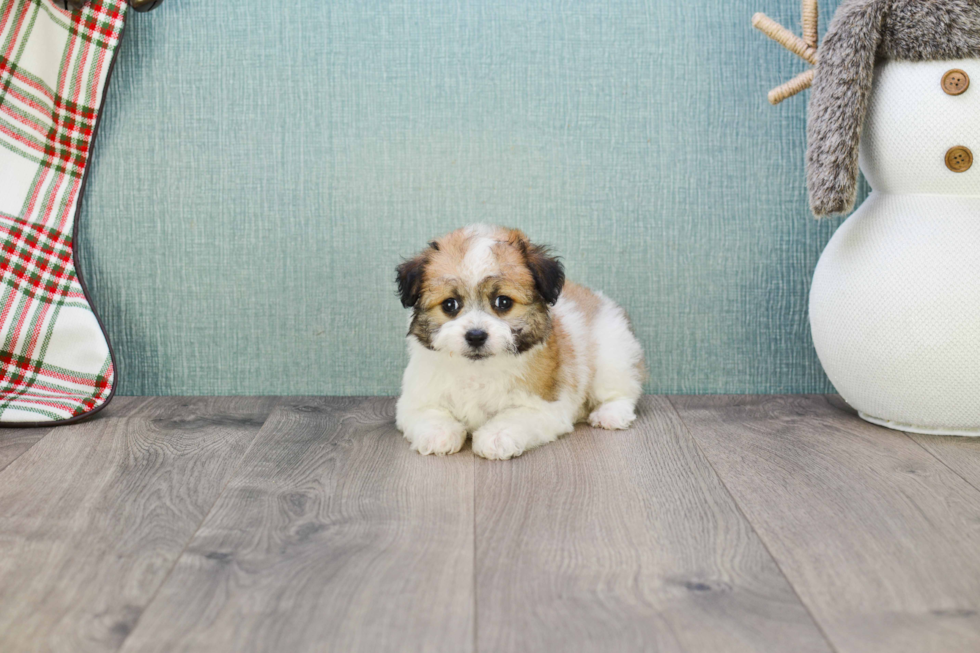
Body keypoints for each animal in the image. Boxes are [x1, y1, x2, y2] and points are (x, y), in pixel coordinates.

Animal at [394, 224, 648, 458]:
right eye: (450, 304)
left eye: (503, 302)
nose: (476, 335)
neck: (477, 370)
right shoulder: (417, 398)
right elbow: (428, 412)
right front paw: (438, 433)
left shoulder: (543, 407)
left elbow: (515, 417)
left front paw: (496, 437)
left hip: (613, 354)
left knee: (621, 391)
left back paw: (610, 414)